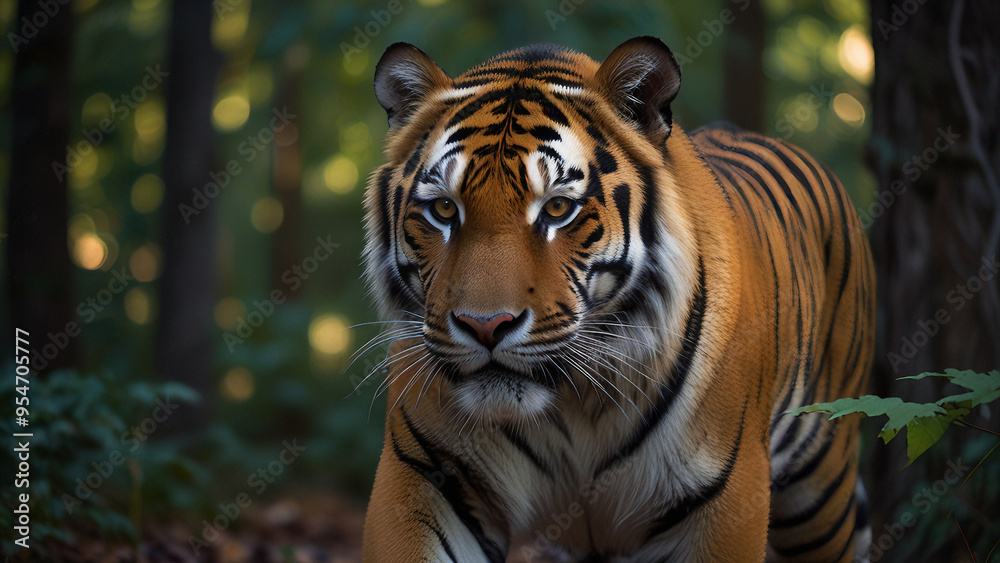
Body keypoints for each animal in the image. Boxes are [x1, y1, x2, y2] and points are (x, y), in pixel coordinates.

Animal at [360, 36, 876, 562]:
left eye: (558, 208)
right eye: (444, 209)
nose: (485, 326)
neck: (571, 408)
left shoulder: (724, 502)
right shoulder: (427, 474)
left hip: (821, 488)